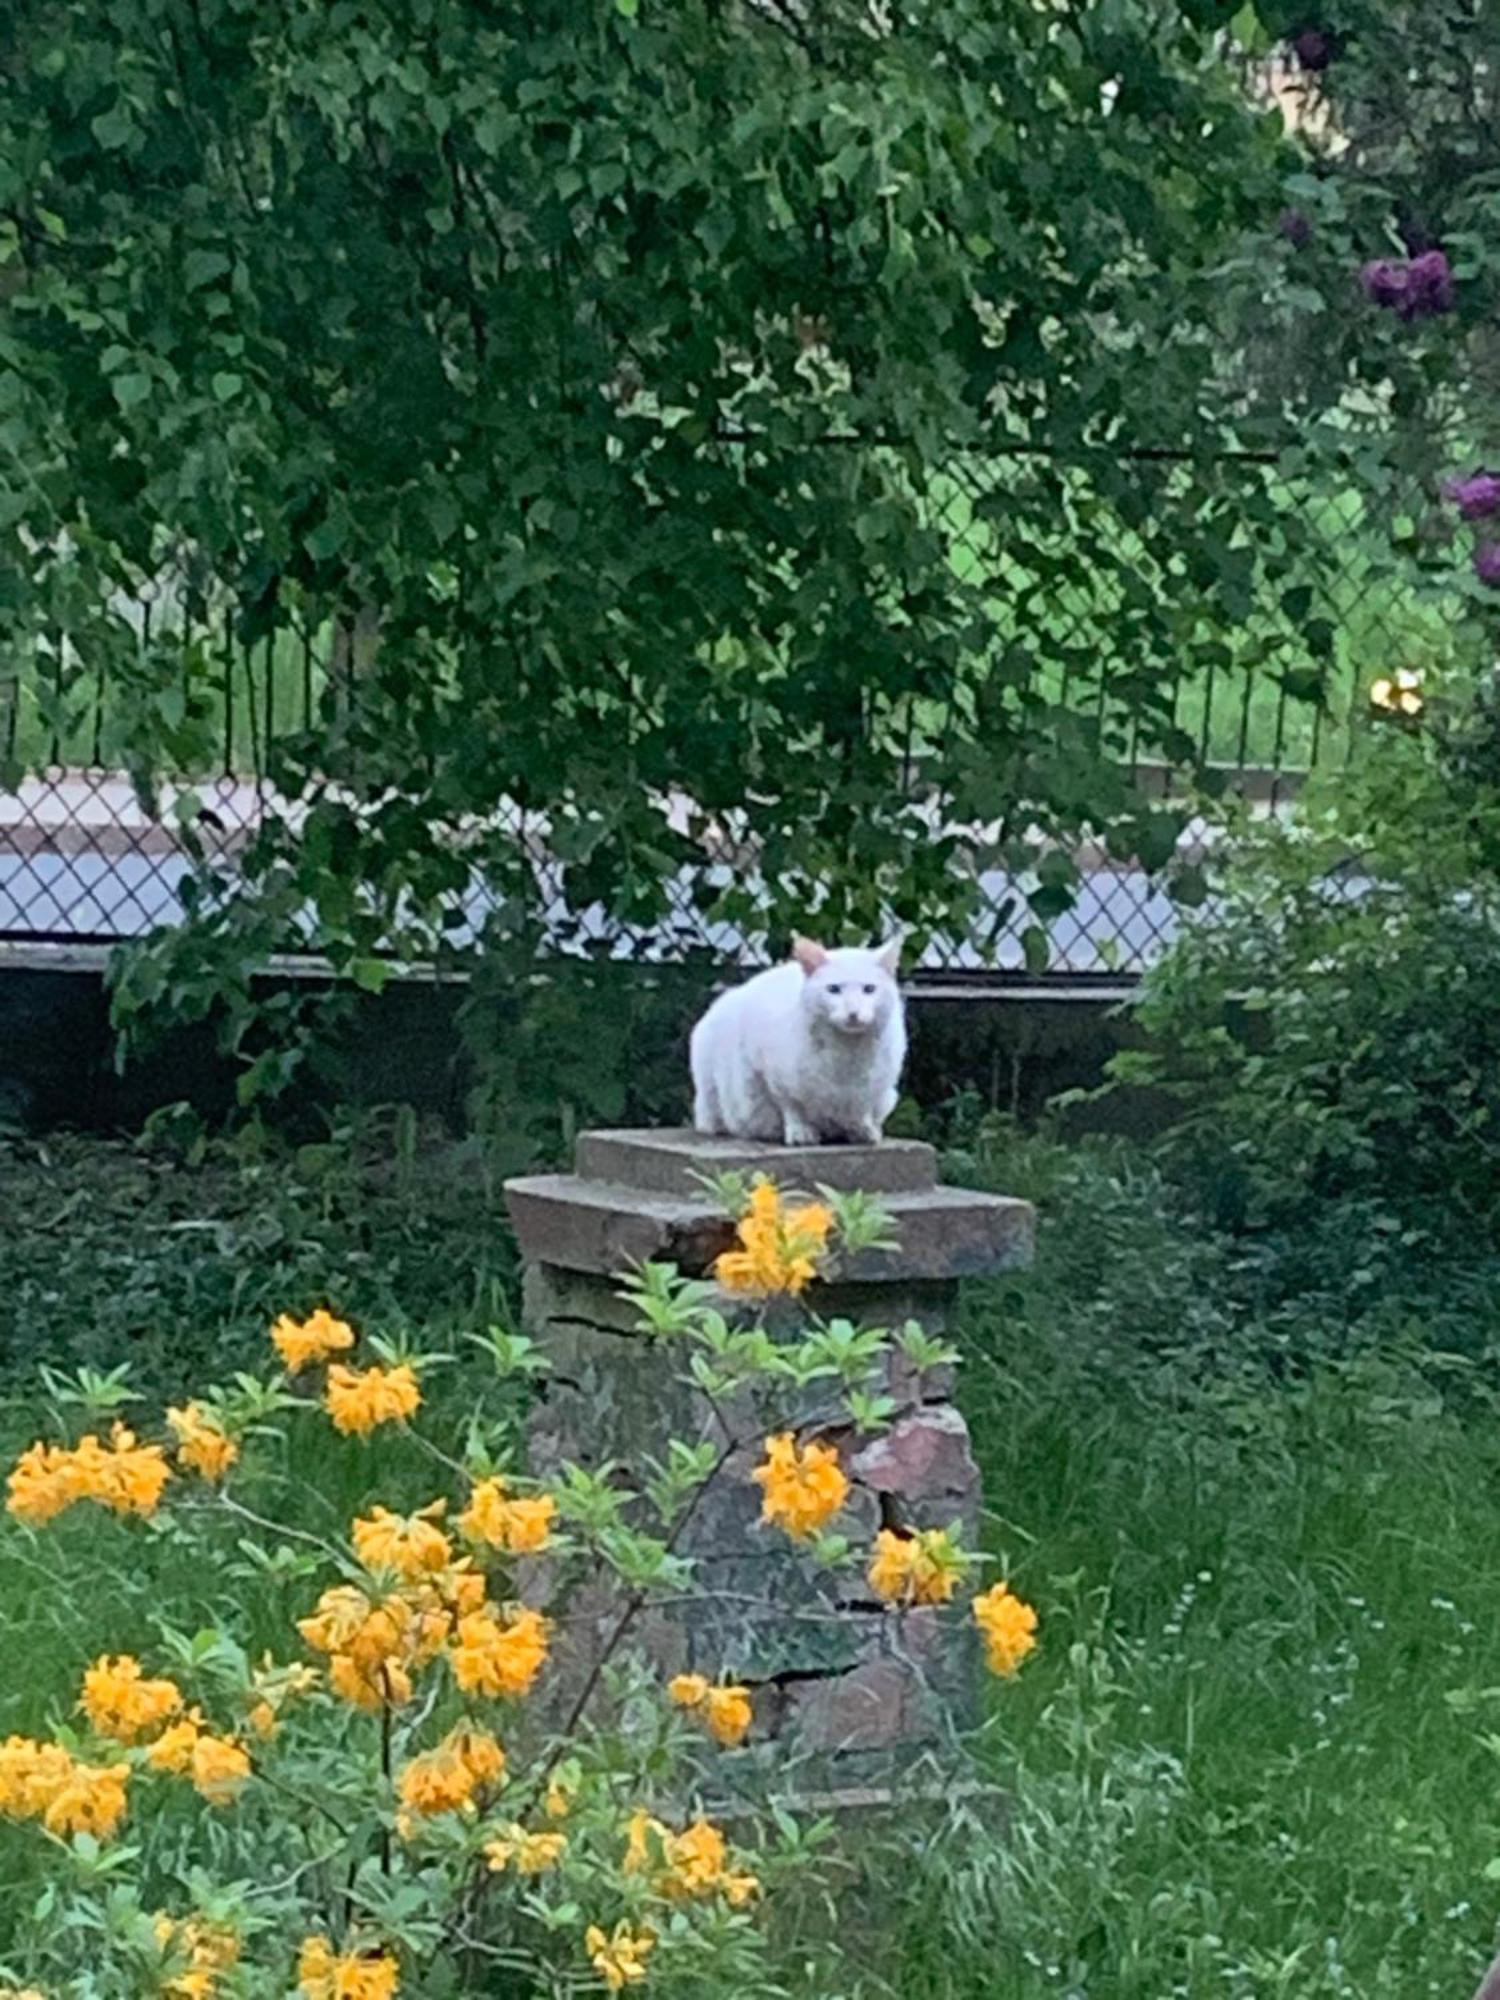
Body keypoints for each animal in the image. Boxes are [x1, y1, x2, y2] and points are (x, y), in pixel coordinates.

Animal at [692, 932, 904, 1144]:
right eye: (833, 989)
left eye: (869, 989)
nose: (853, 1013)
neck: (847, 1051)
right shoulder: (774, 1076)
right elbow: (792, 1107)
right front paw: (800, 1131)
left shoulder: (876, 1087)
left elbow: (864, 1108)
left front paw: (863, 1129)